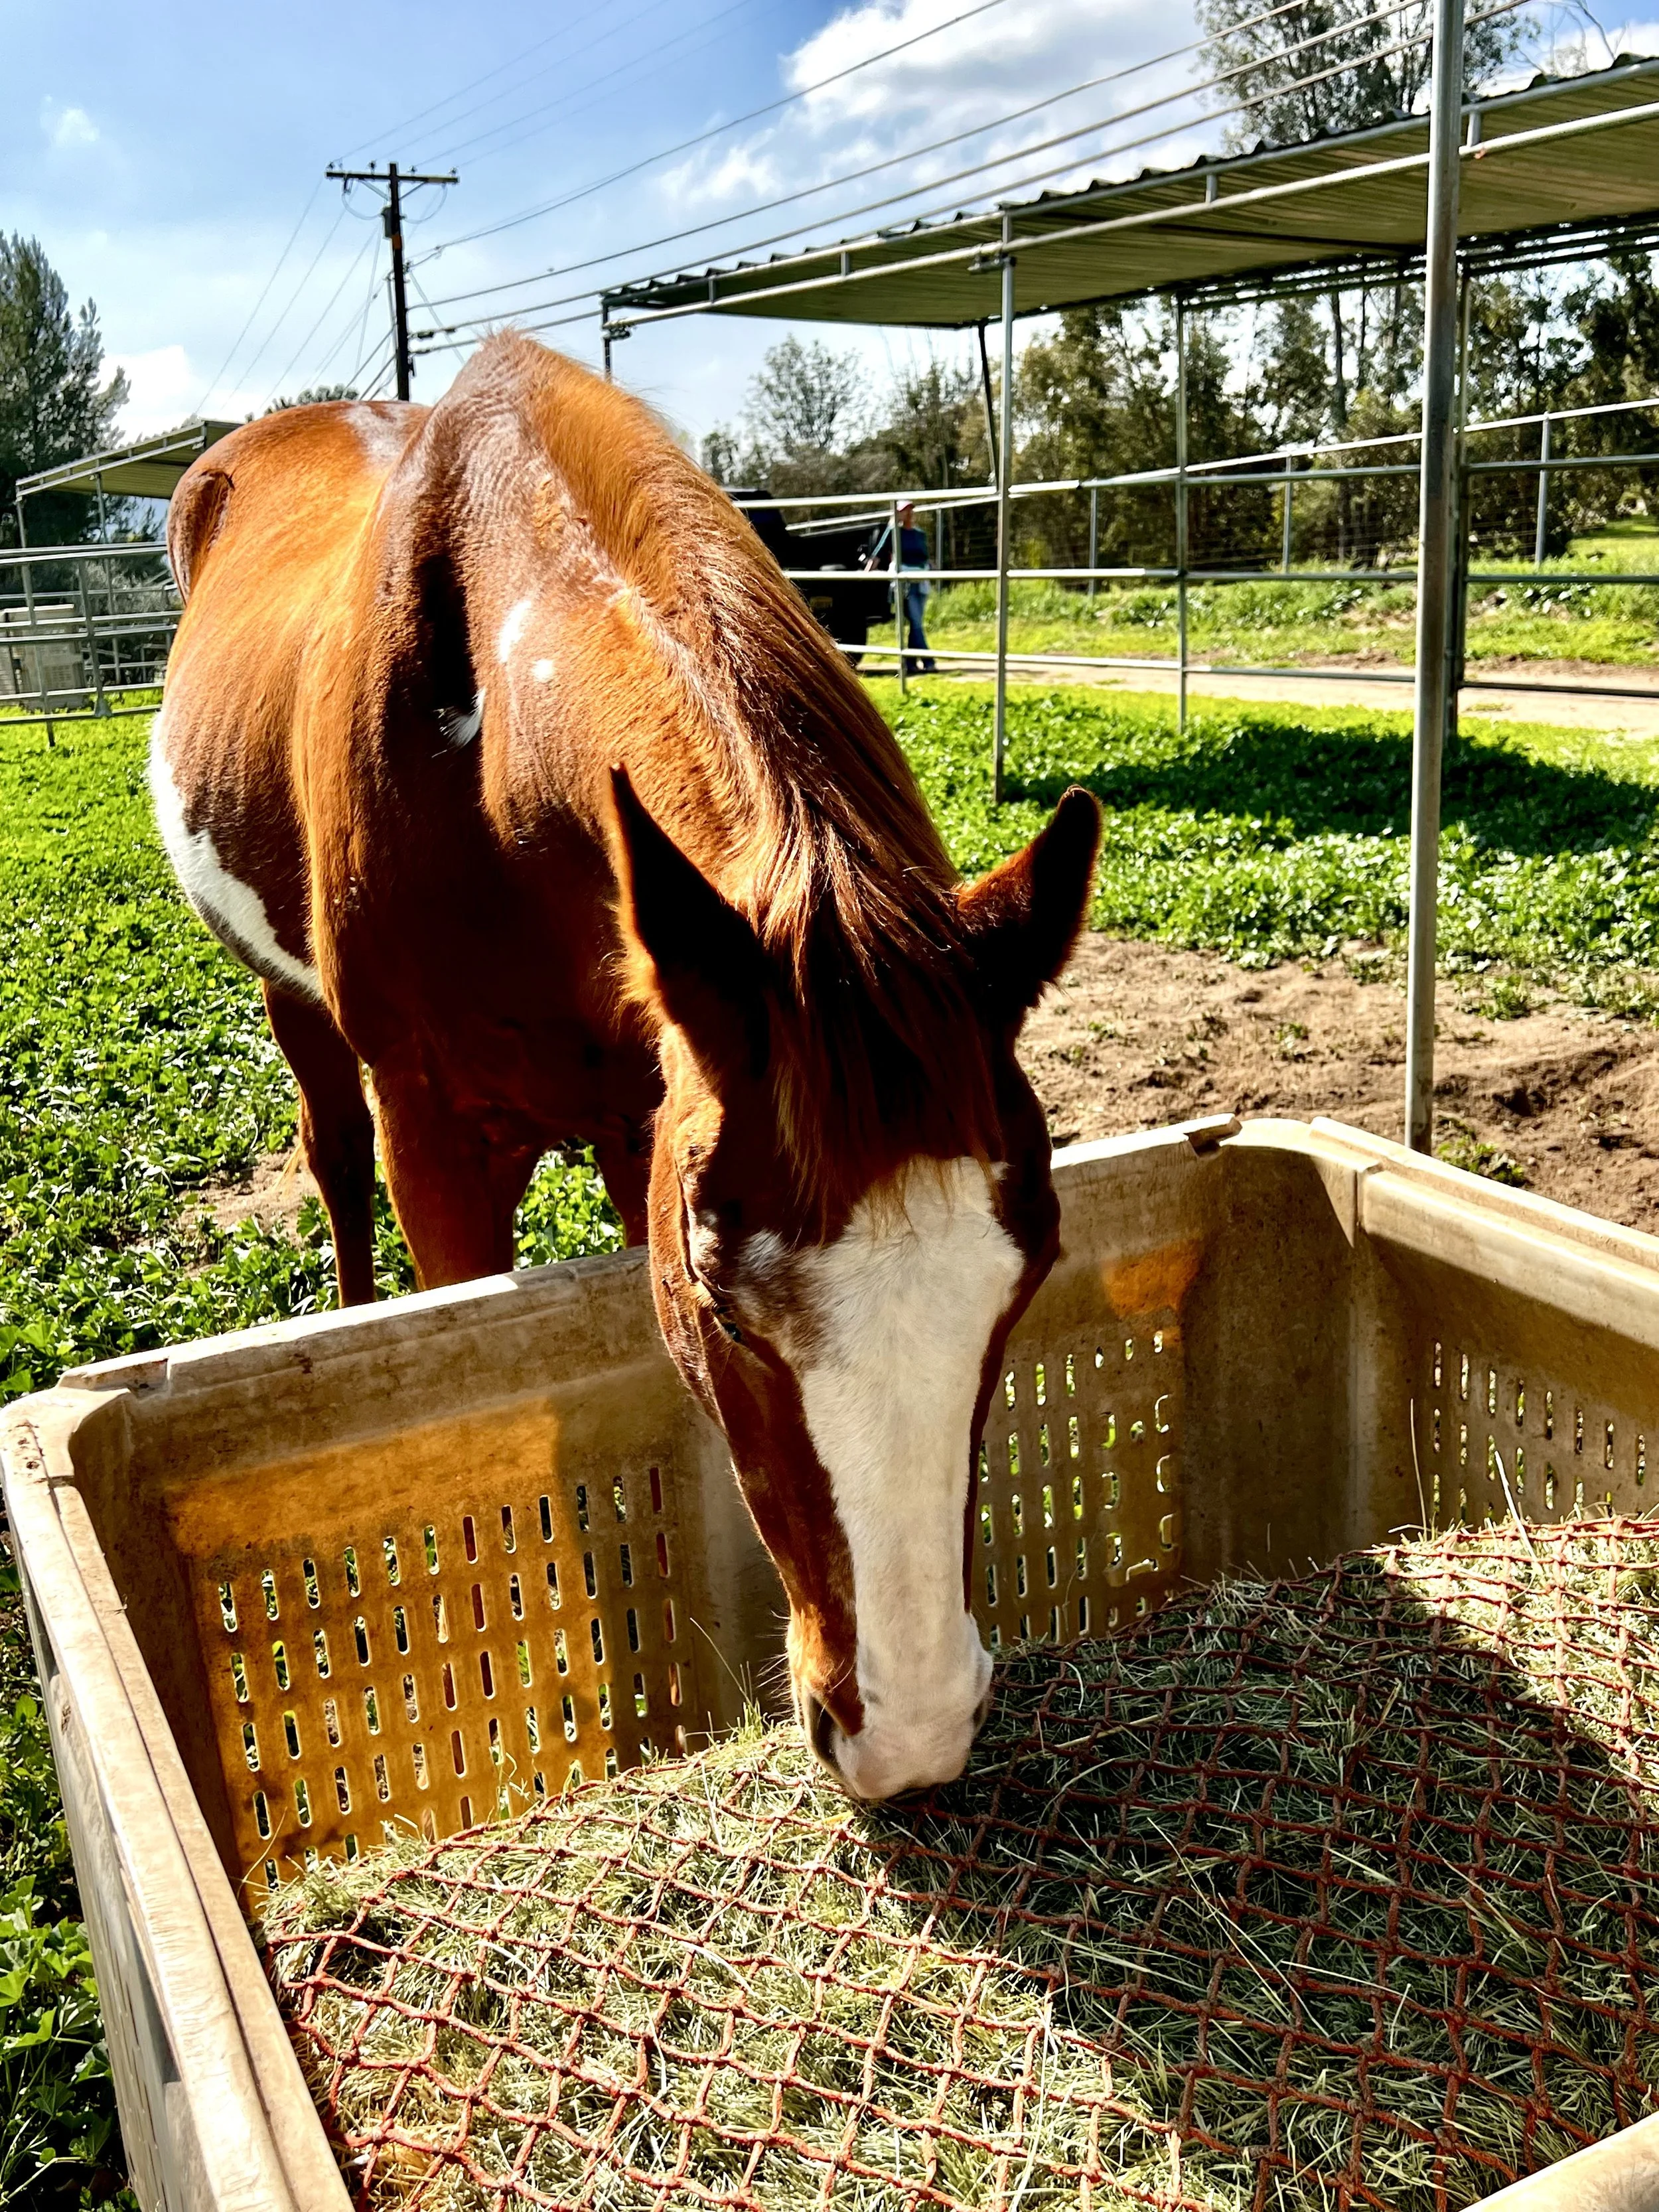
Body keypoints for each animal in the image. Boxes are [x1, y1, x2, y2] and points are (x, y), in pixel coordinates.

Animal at [152, 333, 1101, 1802]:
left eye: (1028, 1276)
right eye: (727, 1312)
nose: (913, 1734)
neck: (484, 733)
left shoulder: (644, 1122)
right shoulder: (442, 1146)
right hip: (289, 998)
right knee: (331, 1156)